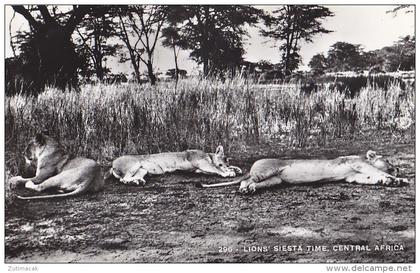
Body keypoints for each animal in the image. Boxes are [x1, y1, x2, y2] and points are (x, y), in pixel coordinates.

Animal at [106, 144, 243, 185]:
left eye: (226, 162)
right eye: (221, 164)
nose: (226, 166)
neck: (209, 156)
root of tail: (112, 164)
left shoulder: (199, 169)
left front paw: (236, 169)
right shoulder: (202, 163)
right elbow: (215, 169)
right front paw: (228, 172)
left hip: (142, 170)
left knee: (131, 177)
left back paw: (138, 181)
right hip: (134, 165)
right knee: (123, 179)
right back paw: (133, 182)